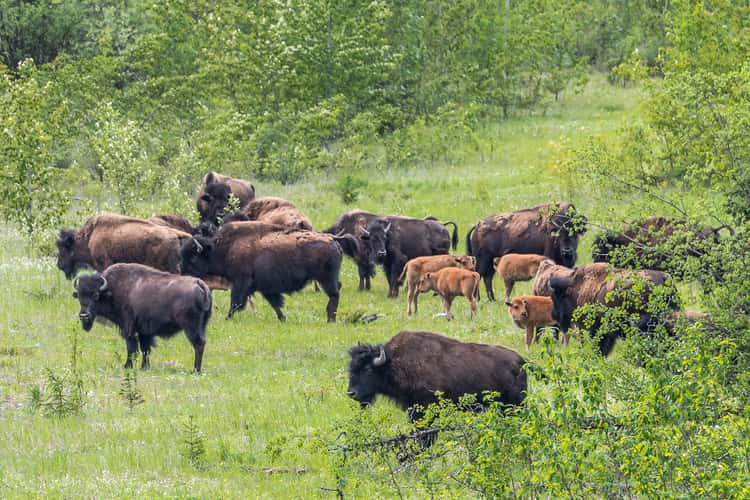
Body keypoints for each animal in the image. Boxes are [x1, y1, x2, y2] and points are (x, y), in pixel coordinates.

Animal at [73, 263, 211, 372]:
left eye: (95, 295)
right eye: (79, 296)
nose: (84, 316)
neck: (111, 290)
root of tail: (200, 284)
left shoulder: (129, 328)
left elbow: (131, 347)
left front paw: (127, 366)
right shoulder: (144, 332)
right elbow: (145, 349)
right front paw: (144, 367)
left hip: (190, 327)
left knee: (198, 344)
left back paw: (195, 370)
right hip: (202, 326)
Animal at [180, 221, 357, 321]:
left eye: (193, 258)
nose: (182, 274)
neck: (227, 247)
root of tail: (333, 238)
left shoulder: (241, 282)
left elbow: (236, 303)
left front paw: (227, 318)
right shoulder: (265, 287)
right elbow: (275, 303)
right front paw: (282, 318)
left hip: (325, 279)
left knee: (334, 294)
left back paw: (330, 318)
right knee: (337, 290)